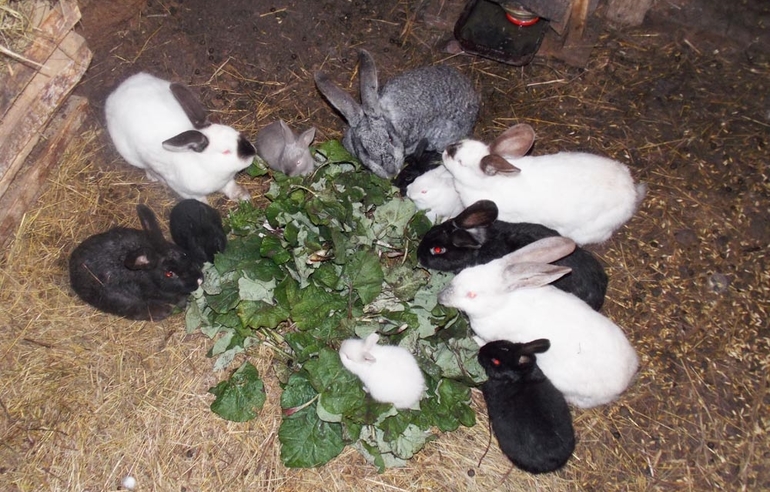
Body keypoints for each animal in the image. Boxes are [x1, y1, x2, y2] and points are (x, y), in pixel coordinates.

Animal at [69, 204, 204, 321]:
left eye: (184, 254)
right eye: (169, 274)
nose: (199, 280)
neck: (150, 276)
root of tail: (72, 269)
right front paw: (183, 302)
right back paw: (163, 312)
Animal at [104, 72, 257, 203]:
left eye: (237, 133)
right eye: (225, 152)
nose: (252, 152)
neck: (204, 164)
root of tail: (117, 92)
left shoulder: (227, 181)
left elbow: (230, 187)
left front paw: (243, 196)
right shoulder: (187, 192)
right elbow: (200, 201)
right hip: (132, 156)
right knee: (146, 167)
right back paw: (155, 177)